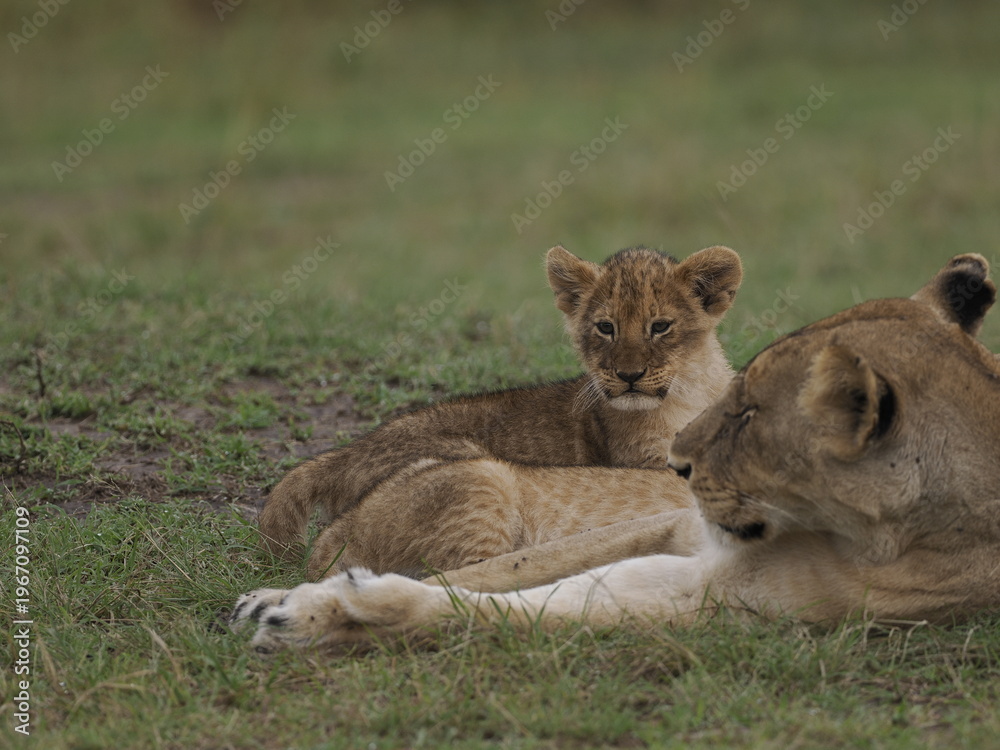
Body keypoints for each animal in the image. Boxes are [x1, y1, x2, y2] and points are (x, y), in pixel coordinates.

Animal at [259, 244, 743, 578]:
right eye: (605, 327)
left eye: (660, 326)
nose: (628, 375)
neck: (688, 392)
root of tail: (344, 454)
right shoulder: (645, 463)